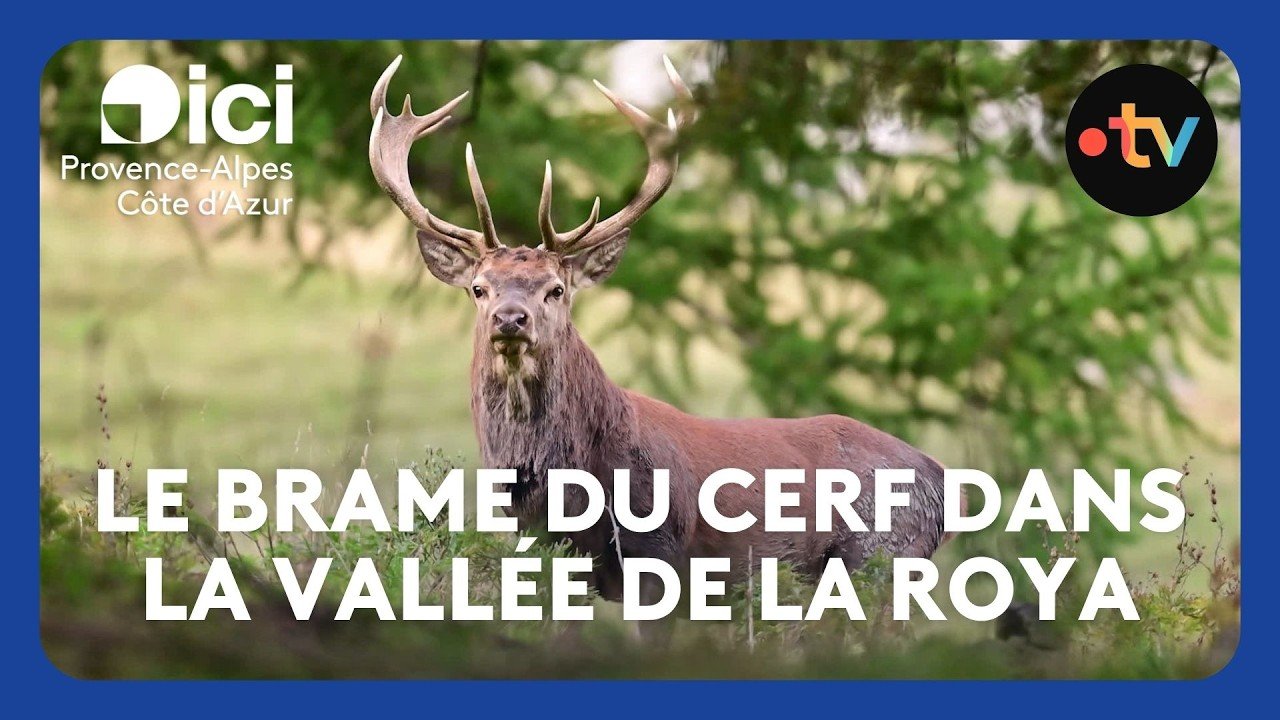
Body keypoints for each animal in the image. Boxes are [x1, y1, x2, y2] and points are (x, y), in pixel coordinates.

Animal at [368, 55, 955, 607]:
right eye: (479, 288)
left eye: (556, 289)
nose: (510, 318)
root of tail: (946, 487)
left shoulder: (661, 551)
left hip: (882, 555)